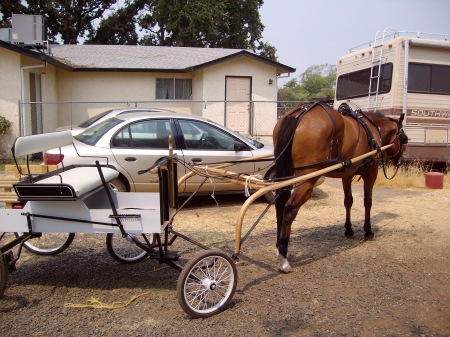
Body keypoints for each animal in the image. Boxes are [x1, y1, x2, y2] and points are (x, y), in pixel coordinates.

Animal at [270, 101, 408, 272]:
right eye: (403, 139)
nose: (401, 161)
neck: (373, 128)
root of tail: (297, 115)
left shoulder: (347, 175)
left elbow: (348, 201)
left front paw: (348, 229)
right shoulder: (371, 172)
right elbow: (367, 202)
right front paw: (368, 231)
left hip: (286, 174)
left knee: (279, 204)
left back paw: (279, 247)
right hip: (307, 179)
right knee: (289, 208)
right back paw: (283, 258)